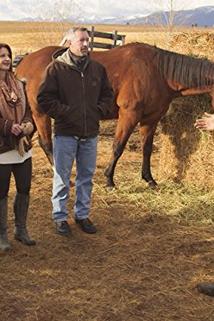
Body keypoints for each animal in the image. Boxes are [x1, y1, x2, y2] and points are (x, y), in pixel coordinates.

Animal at [15, 42, 214, 188]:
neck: (158, 71)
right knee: (46, 144)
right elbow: (118, 147)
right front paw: (109, 179)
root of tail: (24, 63)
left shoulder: (150, 119)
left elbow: (147, 149)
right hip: (40, 113)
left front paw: (149, 179)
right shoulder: (129, 115)